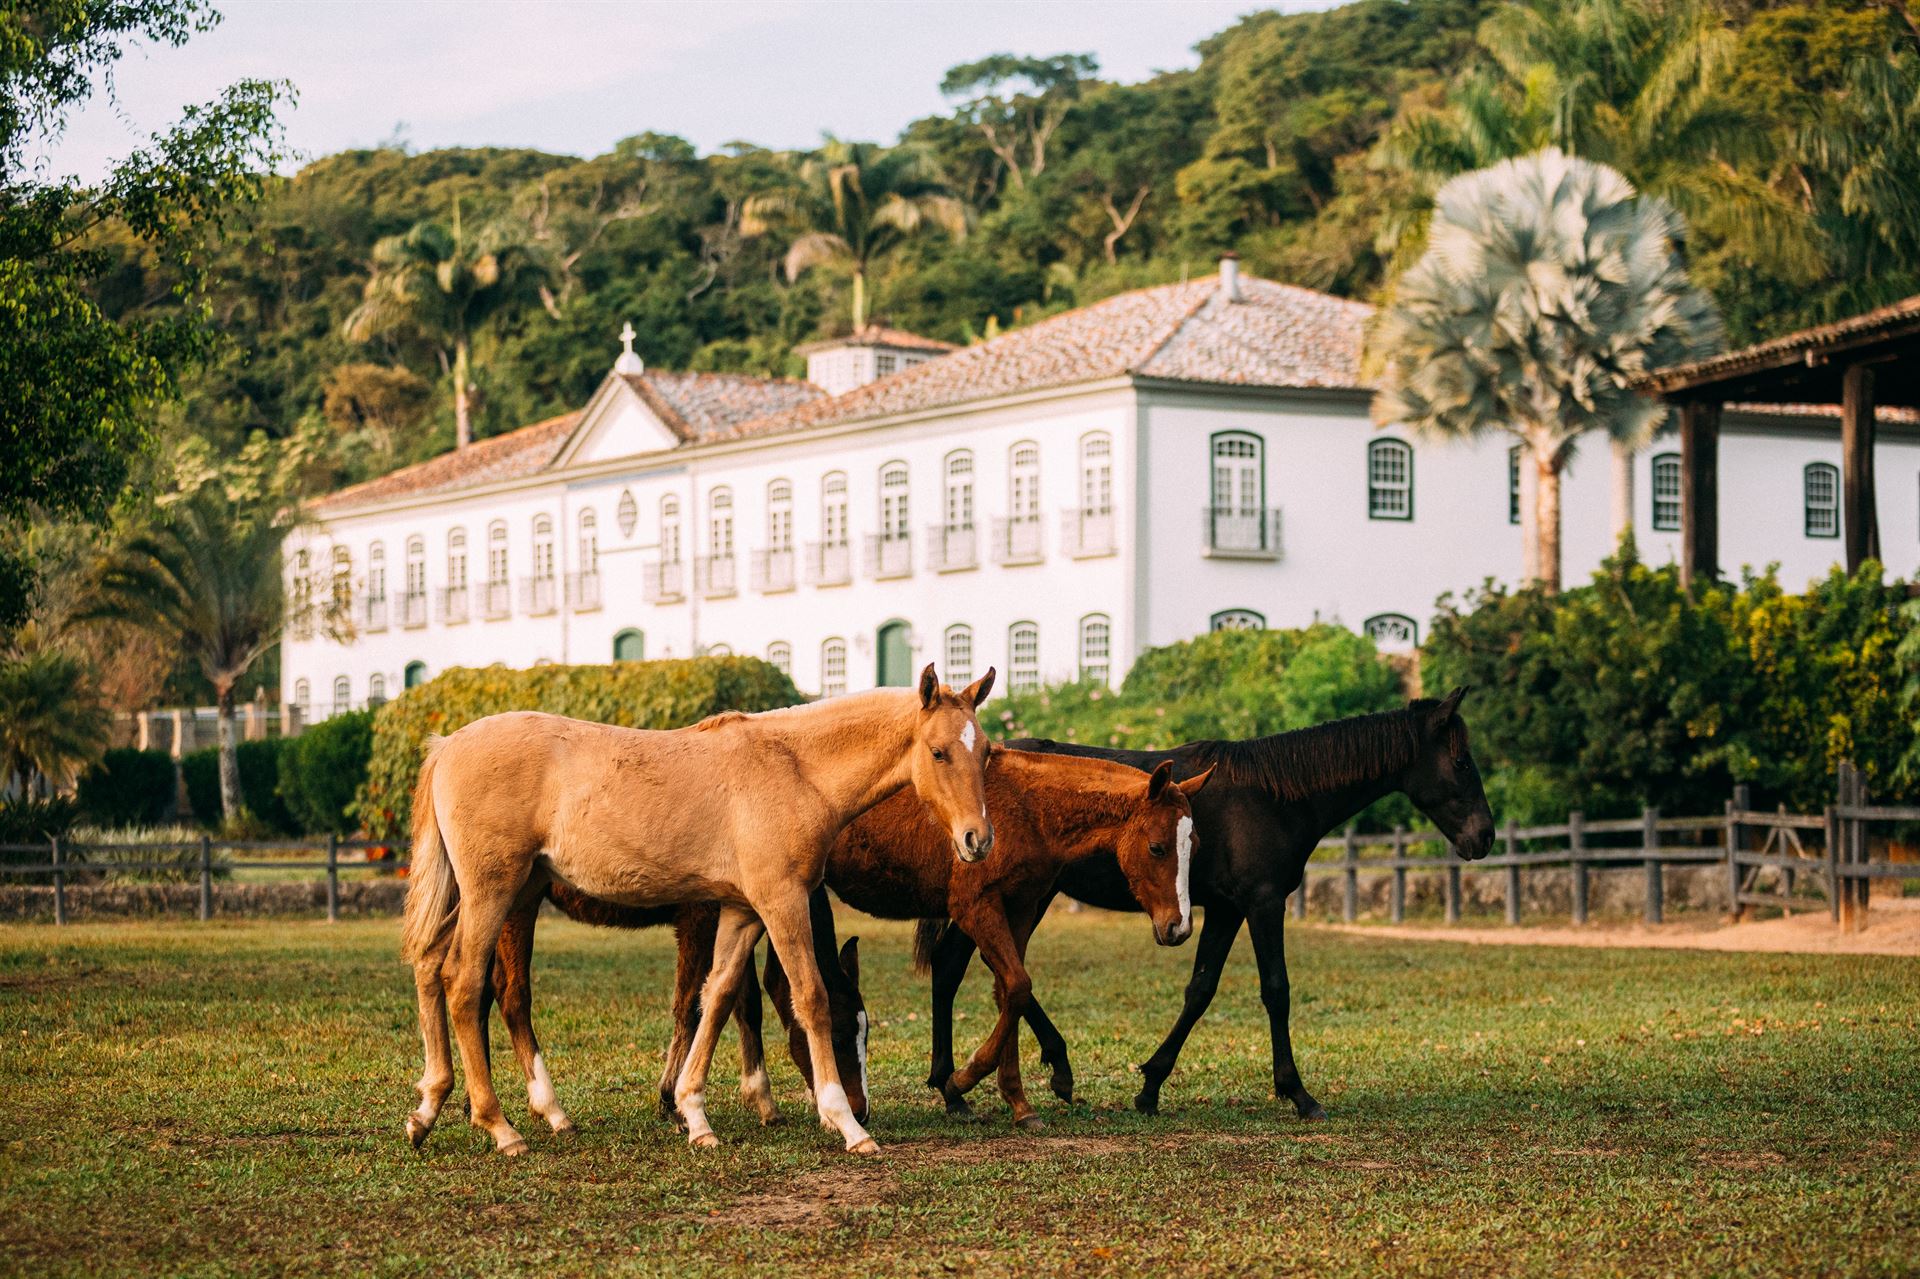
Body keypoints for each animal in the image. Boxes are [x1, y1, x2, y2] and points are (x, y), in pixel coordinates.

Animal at [407, 660, 1006, 1152]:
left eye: (984, 752)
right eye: (938, 752)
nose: (978, 840)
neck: (793, 768)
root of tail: (448, 745)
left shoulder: (740, 911)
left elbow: (715, 998)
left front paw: (695, 1115)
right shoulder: (780, 902)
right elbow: (806, 996)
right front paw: (846, 1125)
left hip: (502, 892)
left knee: (431, 965)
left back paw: (431, 1108)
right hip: (495, 891)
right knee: (465, 983)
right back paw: (500, 1126)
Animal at [921, 687, 1489, 1113]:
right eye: (1462, 762)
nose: (1483, 837)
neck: (1273, 797)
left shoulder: (1225, 909)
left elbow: (1200, 990)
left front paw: (1150, 1085)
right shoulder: (1263, 904)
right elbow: (1276, 990)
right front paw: (1298, 1093)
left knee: (967, 970)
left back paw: (957, 1079)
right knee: (974, 970)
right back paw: (1015, 1074)